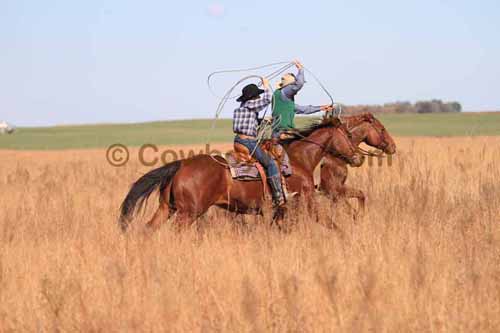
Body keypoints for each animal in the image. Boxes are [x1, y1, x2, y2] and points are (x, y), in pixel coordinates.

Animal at [121, 117, 364, 231]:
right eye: (348, 135)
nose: (358, 158)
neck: (297, 160)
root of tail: (181, 165)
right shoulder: (307, 202)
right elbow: (330, 223)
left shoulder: (279, 212)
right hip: (188, 213)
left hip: (166, 209)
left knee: (148, 230)